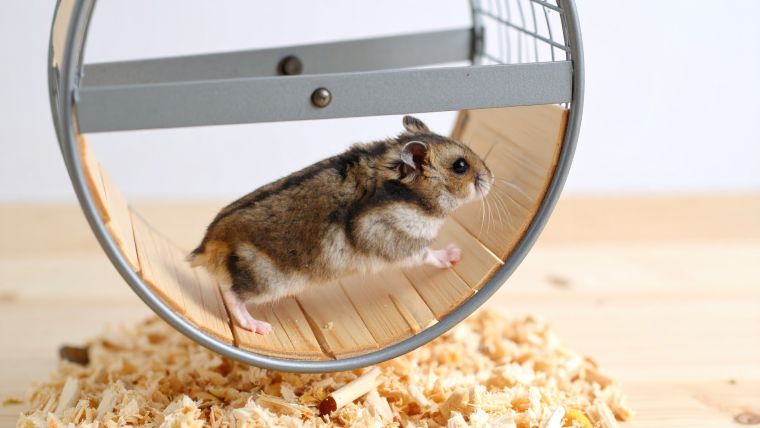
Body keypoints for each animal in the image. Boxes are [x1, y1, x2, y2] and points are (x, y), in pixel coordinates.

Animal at [188, 116, 493, 334]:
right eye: (461, 166)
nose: (492, 178)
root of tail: (205, 246)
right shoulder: (395, 240)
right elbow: (426, 254)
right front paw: (454, 255)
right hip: (265, 280)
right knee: (231, 294)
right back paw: (259, 326)